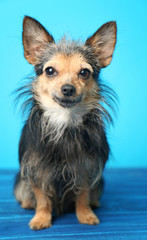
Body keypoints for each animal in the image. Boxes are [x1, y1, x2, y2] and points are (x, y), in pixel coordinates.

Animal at [14, 15, 117, 230]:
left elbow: (83, 194)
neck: (65, 121)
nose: (68, 89)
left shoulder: (87, 168)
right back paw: (28, 203)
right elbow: (42, 197)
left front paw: (85, 215)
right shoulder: (36, 169)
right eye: (50, 70)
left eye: (84, 72)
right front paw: (41, 218)